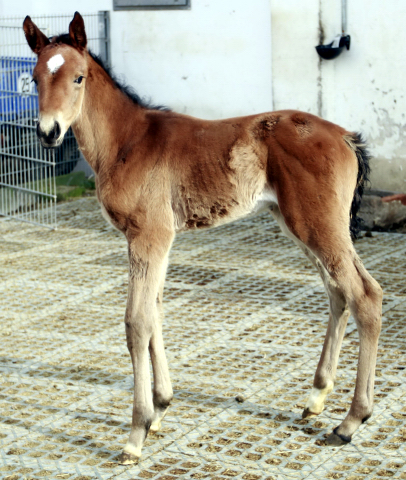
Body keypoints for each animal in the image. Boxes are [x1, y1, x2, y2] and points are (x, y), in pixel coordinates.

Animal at [23, 12, 382, 464]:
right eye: (35, 78)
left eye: (78, 78)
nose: (48, 132)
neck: (126, 142)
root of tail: (344, 136)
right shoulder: (153, 241)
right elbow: (155, 311)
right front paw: (160, 408)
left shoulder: (149, 236)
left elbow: (136, 322)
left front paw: (136, 432)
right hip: (298, 224)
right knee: (338, 293)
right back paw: (317, 397)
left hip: (318, 226)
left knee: (365, 295)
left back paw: (350, 421)